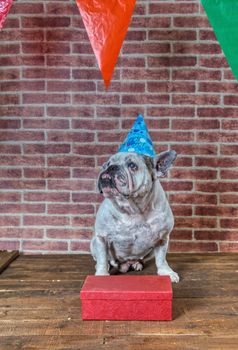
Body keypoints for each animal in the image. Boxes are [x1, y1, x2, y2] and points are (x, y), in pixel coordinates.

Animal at [90, 150, 179, 282]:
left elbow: (161, 259)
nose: (111, 168)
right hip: (93, 243)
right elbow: (102, 258)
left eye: (132, 166)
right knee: (105, 260)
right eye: (106, 165)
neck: (132, 209)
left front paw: (167, 272)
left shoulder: (162, 238)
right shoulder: (101, 237)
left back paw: (137, 263)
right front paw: (101, 275)